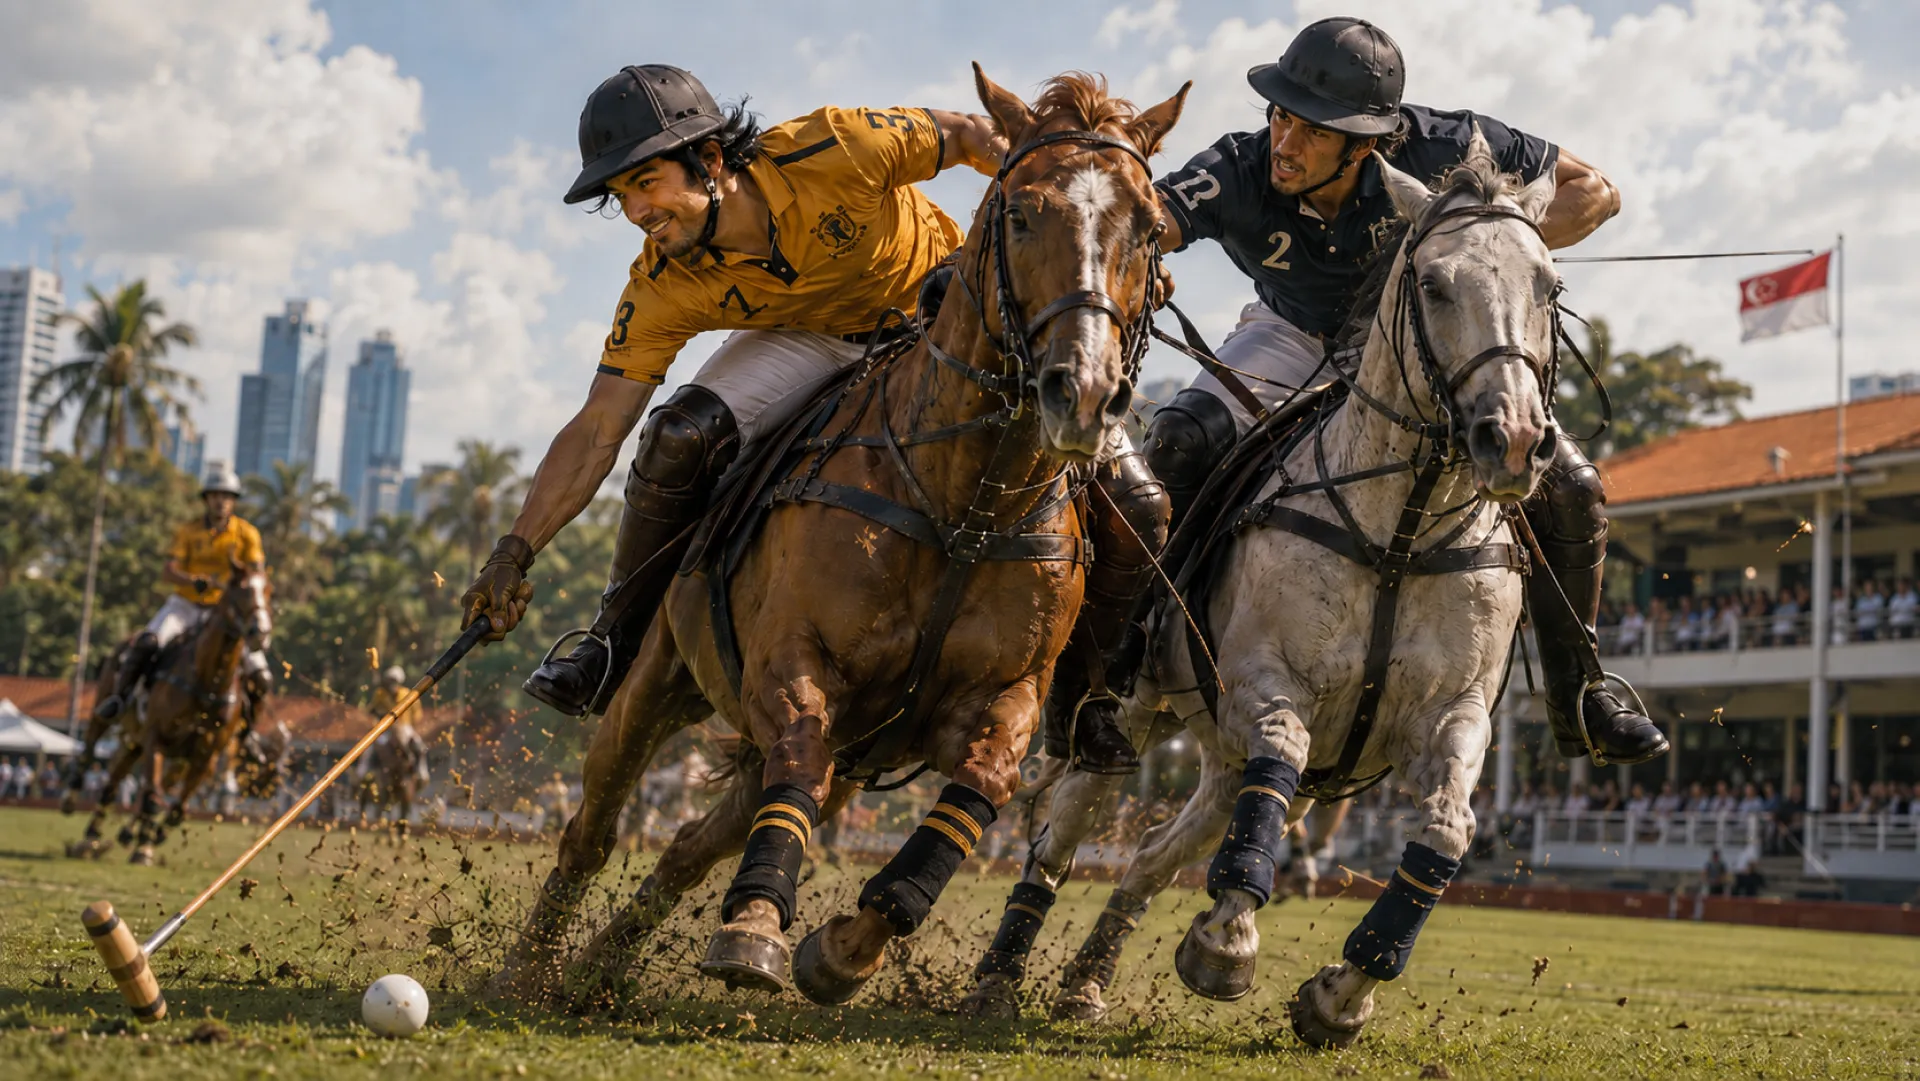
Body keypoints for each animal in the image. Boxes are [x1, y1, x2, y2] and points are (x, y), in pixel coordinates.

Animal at [70, 561, 273, 863]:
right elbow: (153, 797)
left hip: (136, 742)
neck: (207, 681)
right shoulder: (157, 737)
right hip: (110, 707)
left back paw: (94, 838)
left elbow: (176, 807)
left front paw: (148, 839)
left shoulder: (205, 755)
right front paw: (143, 848)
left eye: (269, 592)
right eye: (241, 591)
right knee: (92, 742)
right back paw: (72, 799)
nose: (260, 632)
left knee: (112, 784)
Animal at [484, 67, 1189, 1005]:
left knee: (690, 844)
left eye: (1151, 228)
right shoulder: (794, 659)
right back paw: (531, 968)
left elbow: (978, 788)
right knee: (596, 823)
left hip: (846, 754)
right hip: (658, 678)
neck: (966, 505)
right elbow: (796, 749)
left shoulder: (1003, 695)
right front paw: (754, 928)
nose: (1083, 393)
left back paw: (602, 965)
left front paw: (845, 947)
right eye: (1020, 213)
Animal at [962, 133, 1561, 1046]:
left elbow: (1447, 830)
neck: (1401, 532)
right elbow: (1284, 757)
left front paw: (1344, 991)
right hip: (1130, 716)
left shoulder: (1453, 713)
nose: (1516, 438)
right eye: (1433, 283)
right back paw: (998, 973)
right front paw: (1228, 942)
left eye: (1549, 287)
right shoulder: (1263, 682)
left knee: (1154, 851)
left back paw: (1087, 982)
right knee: (1057, 842)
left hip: (1216, 754)